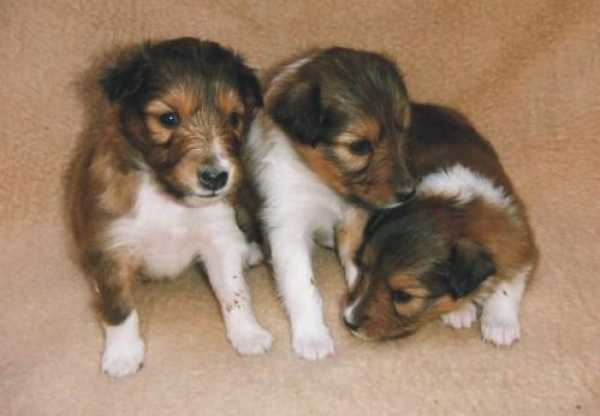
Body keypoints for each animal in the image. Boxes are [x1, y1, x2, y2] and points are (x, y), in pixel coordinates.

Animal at [70, 37, 271, 378]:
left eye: (234, 118)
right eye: (168, 118)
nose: (216, 177)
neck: (166, 195)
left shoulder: (218, 235)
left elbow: (235, 293)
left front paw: (248, 334)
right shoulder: (112, 247)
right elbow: (119, 307)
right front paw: (123, 355)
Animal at [247, 47, 416, 359]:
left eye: (403, 131)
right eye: (359, 147)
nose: (408, 193)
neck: (320, 183)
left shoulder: (353, 216)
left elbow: (356, 262)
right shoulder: (286, 225)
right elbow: (303, 285)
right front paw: (313, 337)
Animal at [340, 104, 538, 346]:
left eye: (403, 296)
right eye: (366, 268)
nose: (348, 322)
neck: (458, 211)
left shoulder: (520, 241)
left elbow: (508, 283)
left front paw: (500, 324)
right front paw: (459, 310)